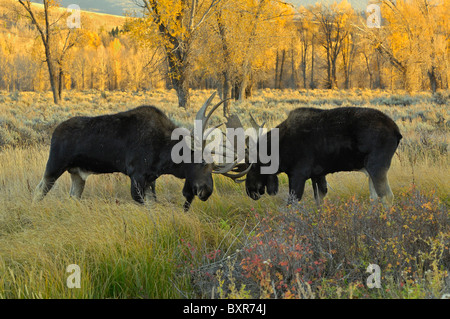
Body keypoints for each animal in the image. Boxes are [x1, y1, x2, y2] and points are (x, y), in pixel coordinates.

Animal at [244, 107, 402, 208]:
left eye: (253, 165)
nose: (250, 191)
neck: (279, 151)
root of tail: (397, 132)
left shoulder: (298, 174)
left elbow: (292, 205)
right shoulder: (318, 175)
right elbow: (319, 200)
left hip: (377, 166)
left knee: (387, 196)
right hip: (370, 170)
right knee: (375, 198)